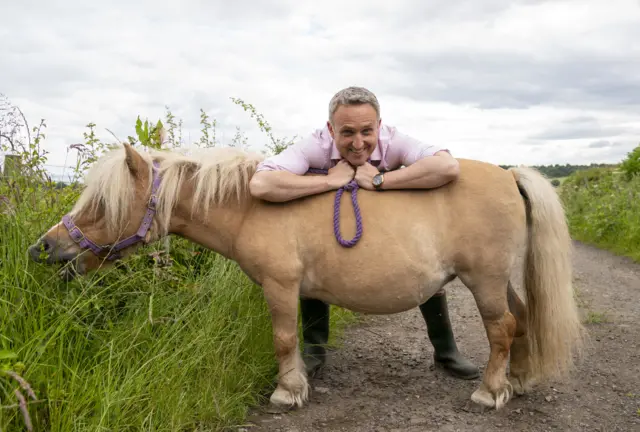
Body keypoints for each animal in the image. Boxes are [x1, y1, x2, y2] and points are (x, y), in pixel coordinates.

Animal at [28, 141, 584, 412]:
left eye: (102, 204)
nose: (44, 247)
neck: (249, 205)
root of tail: (509, 174)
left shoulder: (279, 286)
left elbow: (282, 338)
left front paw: (287, 391)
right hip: (497, 281)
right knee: (521, 320)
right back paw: (517, 381)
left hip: (484, 280)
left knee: (501, 329)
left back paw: (490, 392)